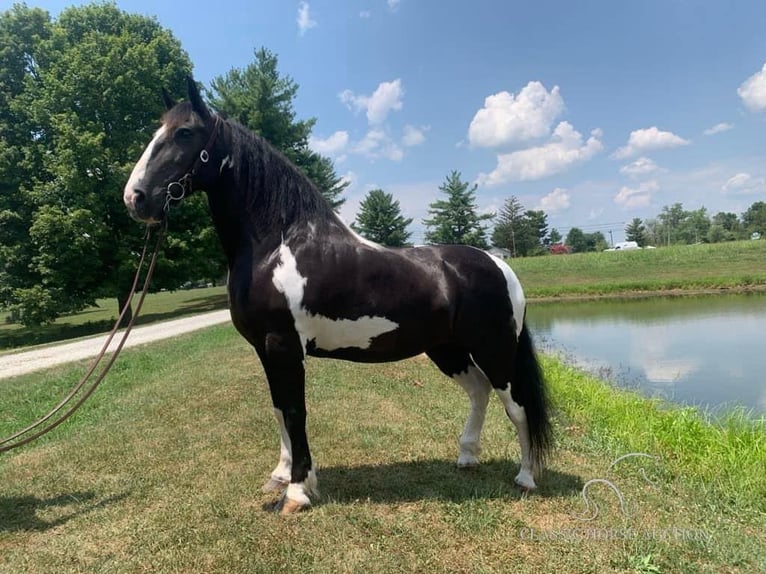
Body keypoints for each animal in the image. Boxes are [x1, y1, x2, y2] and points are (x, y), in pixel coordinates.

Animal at [124, 77, 552, 516]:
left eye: (184, 133)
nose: (135, 198)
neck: (277, 245)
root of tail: (499, 265)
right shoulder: (265, 349)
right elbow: (278, 409)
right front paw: (282, 475)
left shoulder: (283, 347)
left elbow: (294, 411)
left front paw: (297, 492)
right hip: (447, 349)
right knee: (480, 393)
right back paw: (466, 456)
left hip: (494, 350)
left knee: (517, 406)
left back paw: (526, 477)